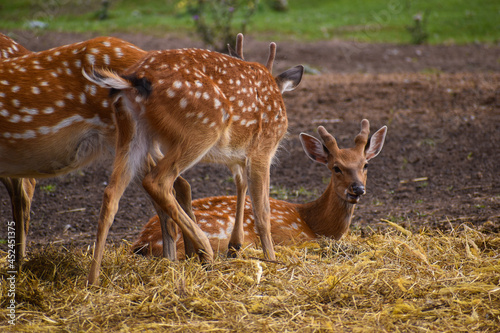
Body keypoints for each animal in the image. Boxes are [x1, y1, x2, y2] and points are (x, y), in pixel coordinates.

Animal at [83, 33, 302, 282]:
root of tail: (133, 80)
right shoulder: (263, 149)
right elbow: (262, 212)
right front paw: (272, 260)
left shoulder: (238, 157)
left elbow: (242, 187)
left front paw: (236, 247)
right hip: (201, 128)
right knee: (158, 181)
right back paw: (205, 250)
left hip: (129, 130)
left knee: (111, 194)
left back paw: (93, 280)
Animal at [132, 119, 386, 256]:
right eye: (336, 167)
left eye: (365, 164)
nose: (357, 189)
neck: (313, 221)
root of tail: (142, 242)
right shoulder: (294, 237)